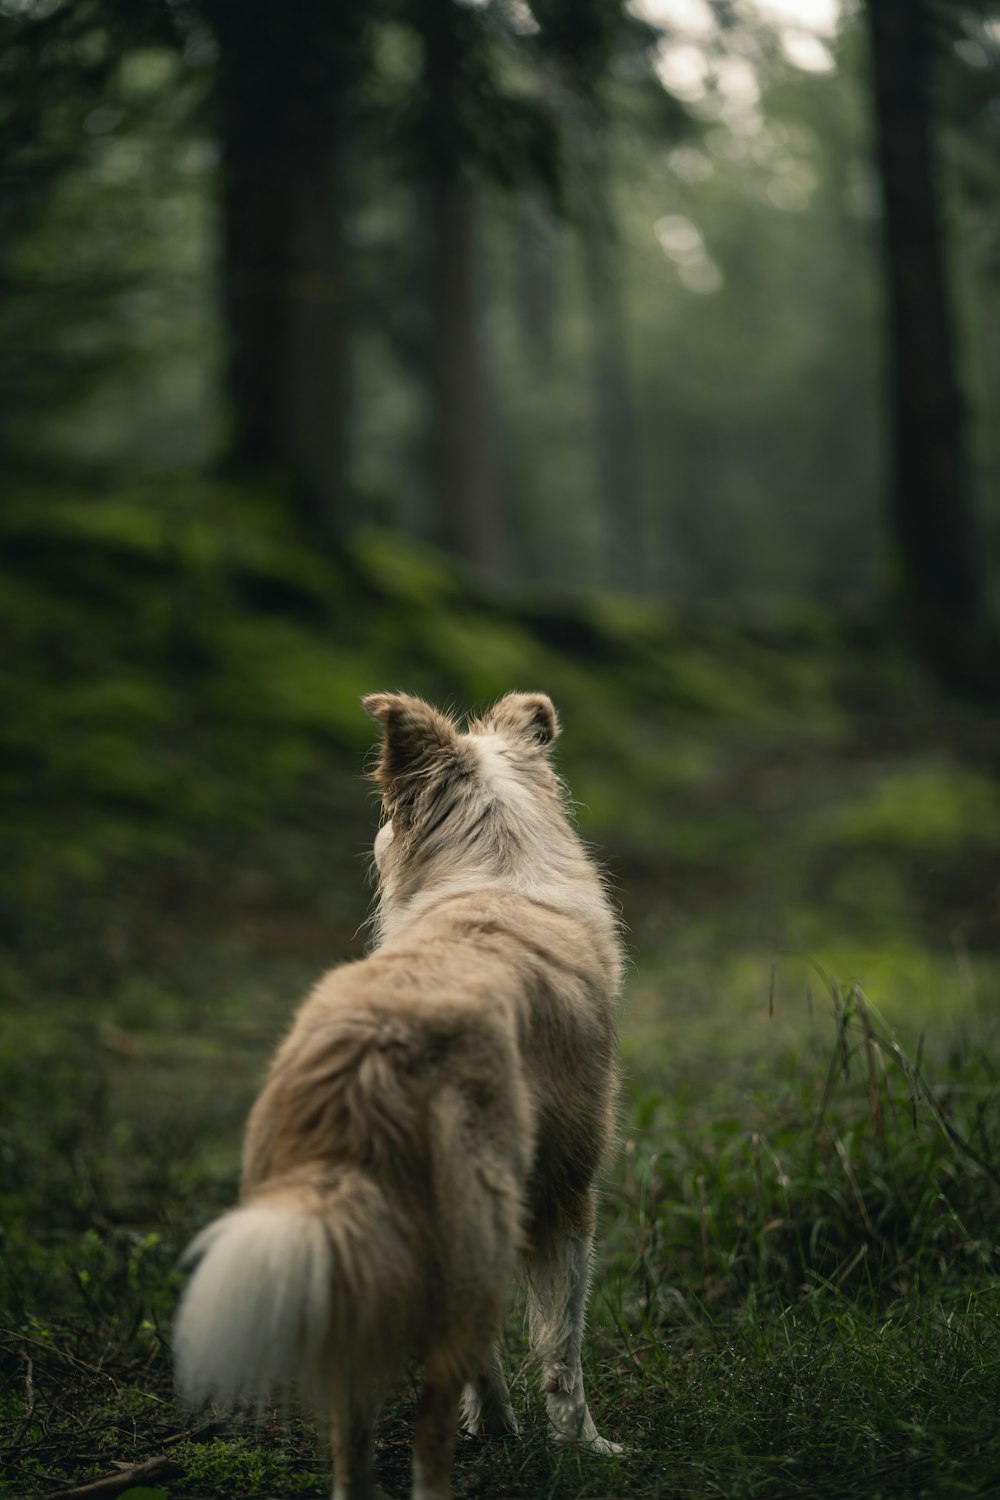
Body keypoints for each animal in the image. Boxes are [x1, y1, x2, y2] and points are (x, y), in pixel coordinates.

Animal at [176, 696, 620, 1500]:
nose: (375, 838)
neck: (497, 870)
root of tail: (377, 1046)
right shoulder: (566, 1195)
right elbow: (560, 1346)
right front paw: (583, 1446)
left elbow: (498, 1351)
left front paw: (501, 1426)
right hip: (474, 1219)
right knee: (429, 1414)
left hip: (336, 1248)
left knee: (353, 1426)